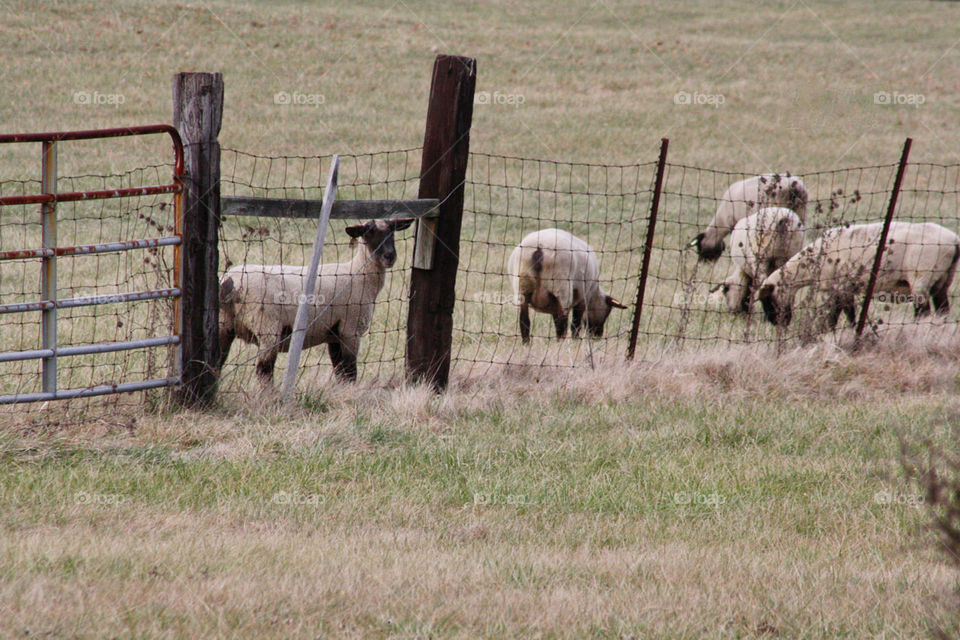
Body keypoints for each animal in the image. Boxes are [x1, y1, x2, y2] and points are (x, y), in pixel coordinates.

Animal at [218, 218, 414, 385]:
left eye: (392, 230)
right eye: (369, 232)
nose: (389, 256)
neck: (359, 273)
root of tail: (231, 283)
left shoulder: (334, 334)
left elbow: (340, 371)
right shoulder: (350, 330)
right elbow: (350, 371)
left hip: (224, 325)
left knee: (217, 362)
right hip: (267, 327)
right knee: (264, 370)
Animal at [757, 221, 960, 328]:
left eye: (767, 299)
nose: (777, 324)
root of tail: (954, 241)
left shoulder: (836, 286)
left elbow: (835, 313)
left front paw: (828, 331)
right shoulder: (847, 288)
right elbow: (849, 312)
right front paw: (850, 328)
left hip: (922, 276)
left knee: (923, 310)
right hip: (944, 279)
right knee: (942, 308)